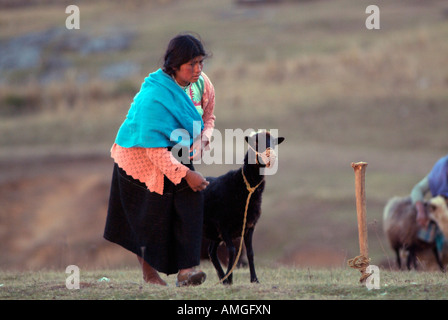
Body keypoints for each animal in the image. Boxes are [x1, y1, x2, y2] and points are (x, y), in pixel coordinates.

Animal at [202, 131, 284, 284]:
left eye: (273, 142)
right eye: (255, 142)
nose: (269, 156)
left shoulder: (249, 226)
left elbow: (250, 253)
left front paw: (254, 279)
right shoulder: (224, 226)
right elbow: (232, 251)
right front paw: (230, 279)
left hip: (214, 232)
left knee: (211, 252)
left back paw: (222, 279)